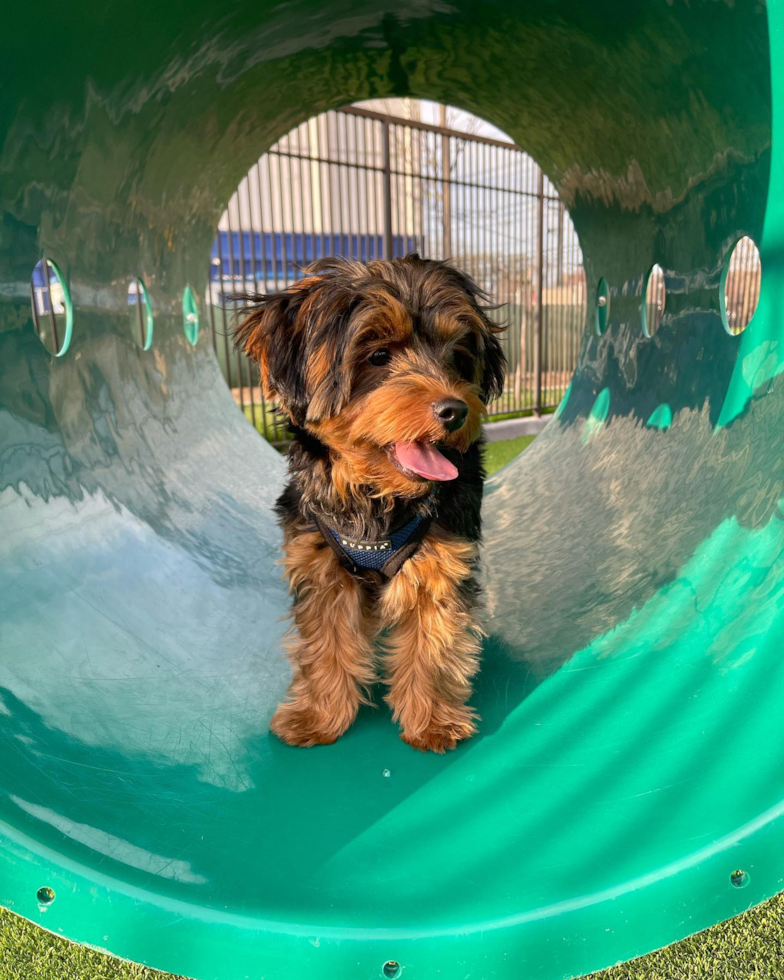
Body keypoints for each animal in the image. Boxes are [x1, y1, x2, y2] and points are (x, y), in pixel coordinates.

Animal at [233, 253, 506, 752]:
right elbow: (325, 642)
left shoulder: (440, 562)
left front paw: (432, 720)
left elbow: (433, 643)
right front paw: (318, 716)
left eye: (457, 356)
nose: (456, 410)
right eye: (378, 356)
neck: (376, 498)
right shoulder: (319, 562)